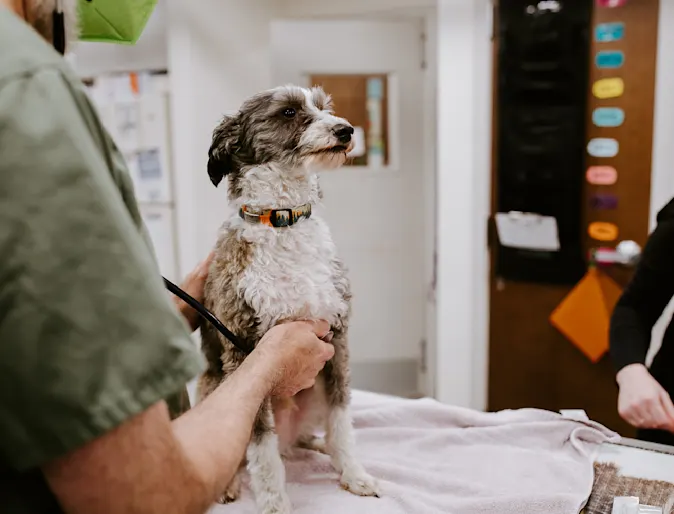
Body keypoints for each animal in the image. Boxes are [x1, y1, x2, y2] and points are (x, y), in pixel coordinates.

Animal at [197, 85, 380, 512]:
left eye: (324, 107)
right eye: (289, 112)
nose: (346, 130)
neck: (283, 220)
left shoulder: (337, 338)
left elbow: (342, 421)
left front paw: (354, 474)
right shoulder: (243, 351)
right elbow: (261, 447)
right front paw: (275, 502)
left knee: (315, 432)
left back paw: (319, 446)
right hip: (213, 385)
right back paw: (230, 484)